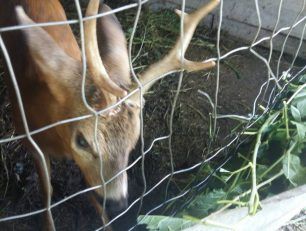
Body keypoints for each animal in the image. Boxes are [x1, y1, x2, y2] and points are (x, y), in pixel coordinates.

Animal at [0, 0, 220, 230]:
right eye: (82, 141)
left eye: (134, 140)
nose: (118, 204)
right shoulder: (30, 142)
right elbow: (47, 194)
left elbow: (91, 193)